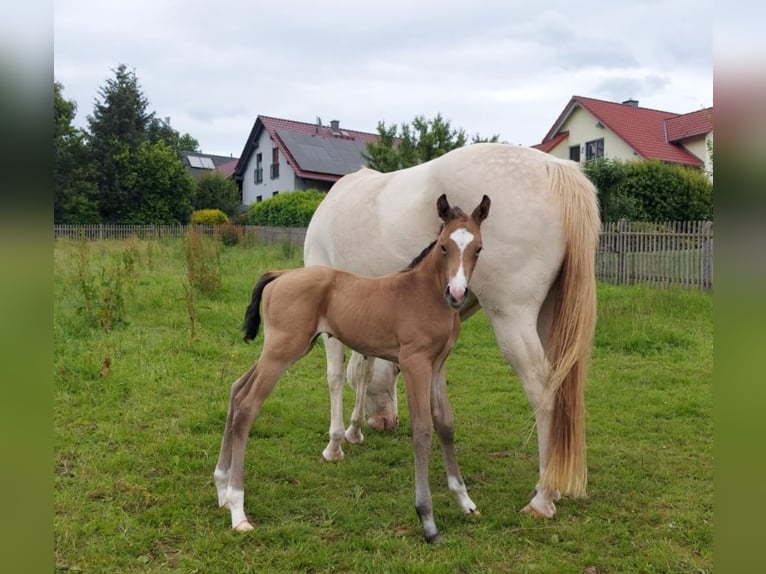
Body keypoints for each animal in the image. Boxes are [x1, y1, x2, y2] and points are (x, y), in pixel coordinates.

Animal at [216, 195, 492, 544]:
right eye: (444, 246)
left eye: (478, 248)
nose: (456, 294)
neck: (423, 293)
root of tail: (280, 274)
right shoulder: (414, 361)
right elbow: (423, 429)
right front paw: (427, 520)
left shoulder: (438, 364)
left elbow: (445, 423)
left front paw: (465, 500)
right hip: (283, 350)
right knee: (248, 406)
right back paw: (238, 510)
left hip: (285, 348)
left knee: (237, 389)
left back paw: (221, 489)